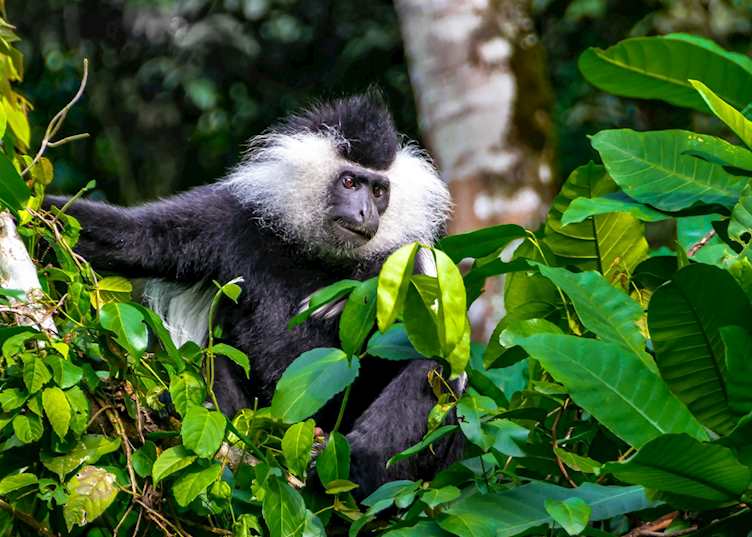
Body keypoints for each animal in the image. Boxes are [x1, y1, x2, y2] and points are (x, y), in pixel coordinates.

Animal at [44, 91, 459, 496]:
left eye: (378, 190)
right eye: (350, 183)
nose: (365, 213)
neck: (317, 254)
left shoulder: (407, 257)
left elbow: (437, 339)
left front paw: (356, 296)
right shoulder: (227, 217)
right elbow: (133, 239)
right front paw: (36, 210)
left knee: (431, 369)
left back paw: (355, 466)